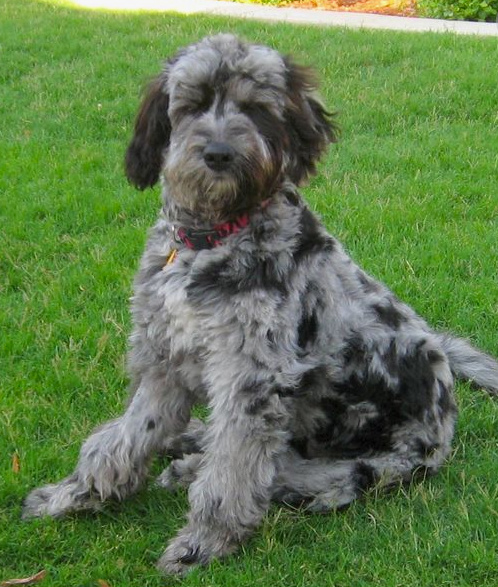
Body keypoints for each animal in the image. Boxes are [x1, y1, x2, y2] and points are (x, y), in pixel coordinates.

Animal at [23, 33, 498, 576]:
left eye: (254, 108)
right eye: (193, 105)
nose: (219, 153)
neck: (212, 238)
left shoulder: (250, 380)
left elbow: (230, 475)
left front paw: (203, 542)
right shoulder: (164, 361)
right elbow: (122, 437)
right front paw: (72, 496)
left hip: (375, 460)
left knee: (299, 475)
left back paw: (200, 468)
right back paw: (188, 443)